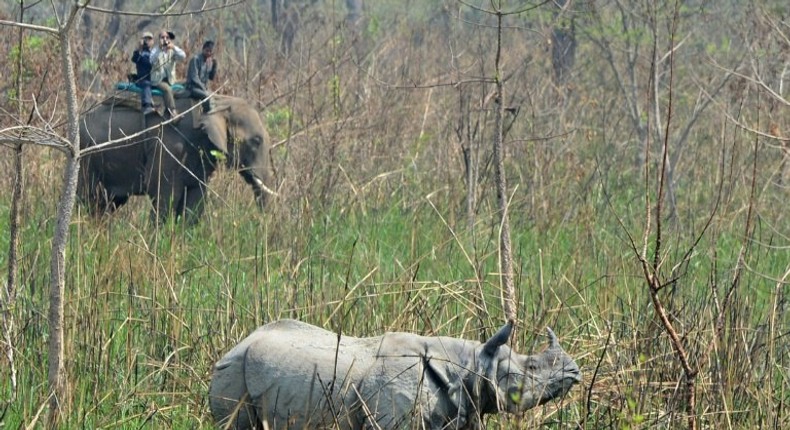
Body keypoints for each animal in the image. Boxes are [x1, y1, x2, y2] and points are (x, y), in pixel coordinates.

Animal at [79, 93, 274, 222]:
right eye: (256, 141)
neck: (217, 102)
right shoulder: (168, 148)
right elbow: (164, 195)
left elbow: (195, 199)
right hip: (86, 157)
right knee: (88, 199)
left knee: (107, 203)